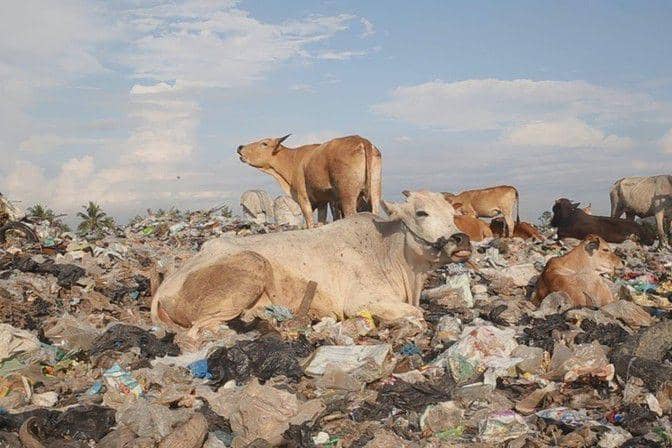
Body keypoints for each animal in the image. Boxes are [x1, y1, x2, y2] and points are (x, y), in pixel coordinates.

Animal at [151, 190, 471, 336]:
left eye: (453, 214)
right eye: (421, 213)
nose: (462, 239)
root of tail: (165, 287)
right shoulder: (362, 302)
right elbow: (416, 314)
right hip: (251, 266)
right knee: (199, 329)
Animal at [237, 135, 382, 228]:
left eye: (264, 143)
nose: (240, 147)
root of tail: (361, 140)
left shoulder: (303, 197)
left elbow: (309, 223)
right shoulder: (323, 200)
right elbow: (321, 221)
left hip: (348, 195)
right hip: (375, 191)